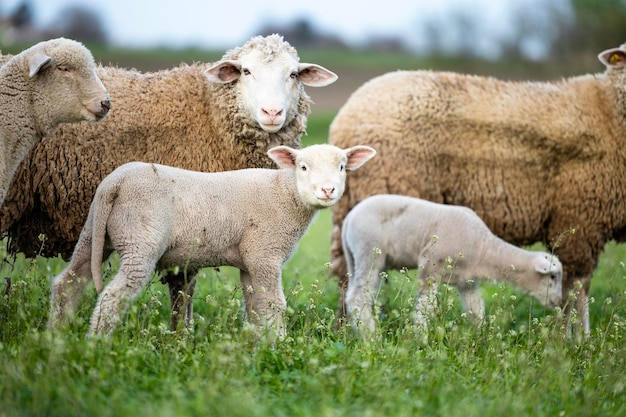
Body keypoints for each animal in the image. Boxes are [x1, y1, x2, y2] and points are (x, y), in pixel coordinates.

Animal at [48, 143, 376, 334]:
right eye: (303, 167)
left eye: (342, 167)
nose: (327, 190)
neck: (284, 194)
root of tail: (114, 183)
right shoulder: (265, 254)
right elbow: (274, 304)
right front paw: (278, 345)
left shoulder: (250, 261)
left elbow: (254, 306)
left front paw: (258, 342)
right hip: (139, 240)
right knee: (111, 297)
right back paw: (97, 343)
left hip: (94, 232)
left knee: (68, 282)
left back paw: (56, 336)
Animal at [342, 193, 560, 334]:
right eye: (552, 276)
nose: (558, 302)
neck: (484, 248)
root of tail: (348, 219)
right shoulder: (429, 265)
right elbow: (425, 309)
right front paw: (420, 339)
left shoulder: (467, 281)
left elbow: (476, 310)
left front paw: (478, 338)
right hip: (369, 253)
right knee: (357, 298)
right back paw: (371, 337)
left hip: (356, 258)